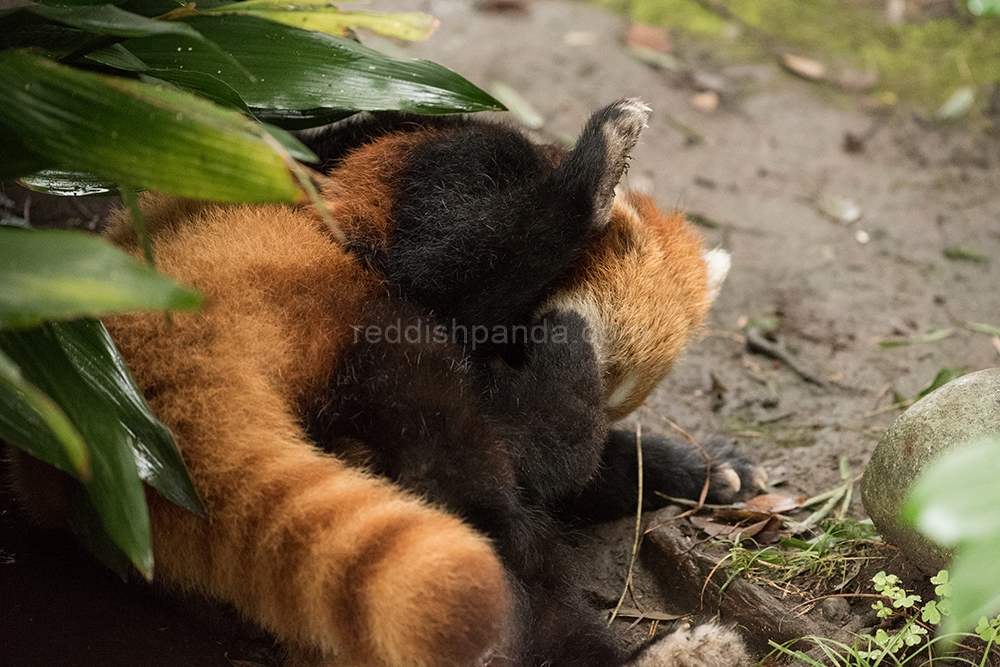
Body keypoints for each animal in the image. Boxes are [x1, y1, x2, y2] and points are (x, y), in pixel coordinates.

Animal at [7, 99, 760, 667]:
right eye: (515, 347)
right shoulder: (437, 177)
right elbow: (449, 268)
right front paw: (593, 174)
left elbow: (568, 477)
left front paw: (709, 469)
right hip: (353, 324)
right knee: (477, 472)